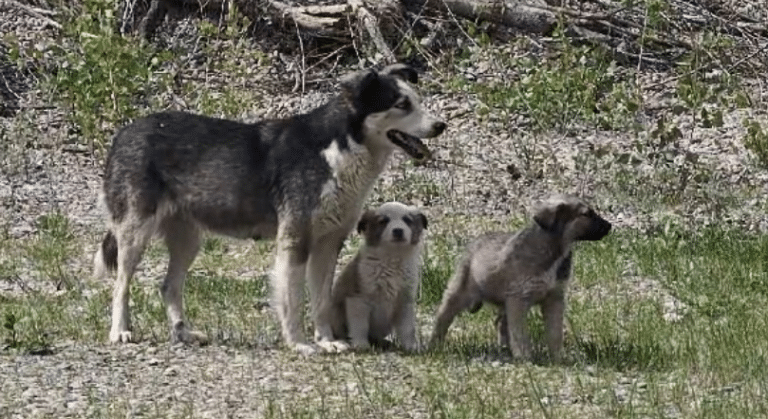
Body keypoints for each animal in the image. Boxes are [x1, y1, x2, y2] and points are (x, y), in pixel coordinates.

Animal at [328, 202, 428, 352]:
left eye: (407, 220)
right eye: (383, 221)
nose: (398, 231)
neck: (392, 259)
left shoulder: (405, 301)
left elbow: (408, 328)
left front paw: (411, 347)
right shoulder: (358, 299)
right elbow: (360, 325)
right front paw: (361, 344)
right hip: (335, 313)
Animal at [428, 195, 608, 362]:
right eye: (586, 214)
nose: (609, 226)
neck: (554, 252)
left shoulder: (554, 298)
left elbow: (555, 332)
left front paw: (557, 357)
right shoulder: (519, 299)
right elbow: (520, 332)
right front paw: (525, 356)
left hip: (504, 301)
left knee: (500, 323)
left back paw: (504, 349)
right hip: (460, 291)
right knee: (443, 317)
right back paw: (434, 345)